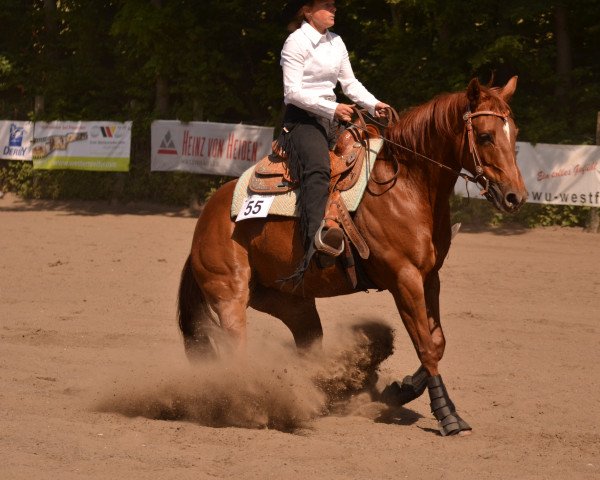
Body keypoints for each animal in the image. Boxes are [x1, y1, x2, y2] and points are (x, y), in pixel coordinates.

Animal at [177, 77, 524, 436]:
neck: (406, 187)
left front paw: (400, 389)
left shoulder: (430, 277)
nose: (515, 196)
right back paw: (251, 405)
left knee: (307, 346)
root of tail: (206, 220)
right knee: (236, 353)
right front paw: (447, 414)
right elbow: (426, 346)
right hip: (229, 296)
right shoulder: (405, 279)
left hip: (292, 303)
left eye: (514, 133)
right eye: (485, 136)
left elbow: (438, 341)